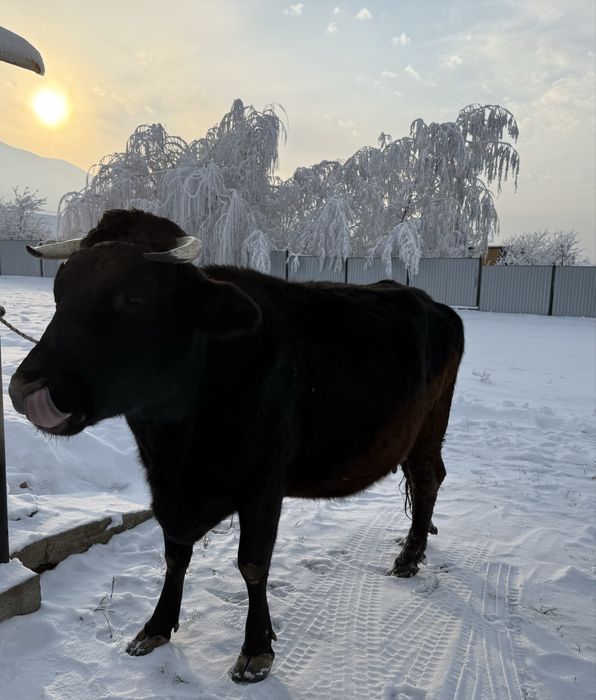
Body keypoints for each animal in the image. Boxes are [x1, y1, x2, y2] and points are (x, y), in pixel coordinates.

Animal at [9, 209, 464, 683]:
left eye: (133, 297)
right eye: (60, 291)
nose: (27, 391)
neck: (179, 447)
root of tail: (431, 303)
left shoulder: (264, 485)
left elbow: (252, 564)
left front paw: (256, 649)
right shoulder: (171, 493)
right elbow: (174, 555)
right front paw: (155, 627)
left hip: (430, 426)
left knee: (428, 479)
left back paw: (409, 557)